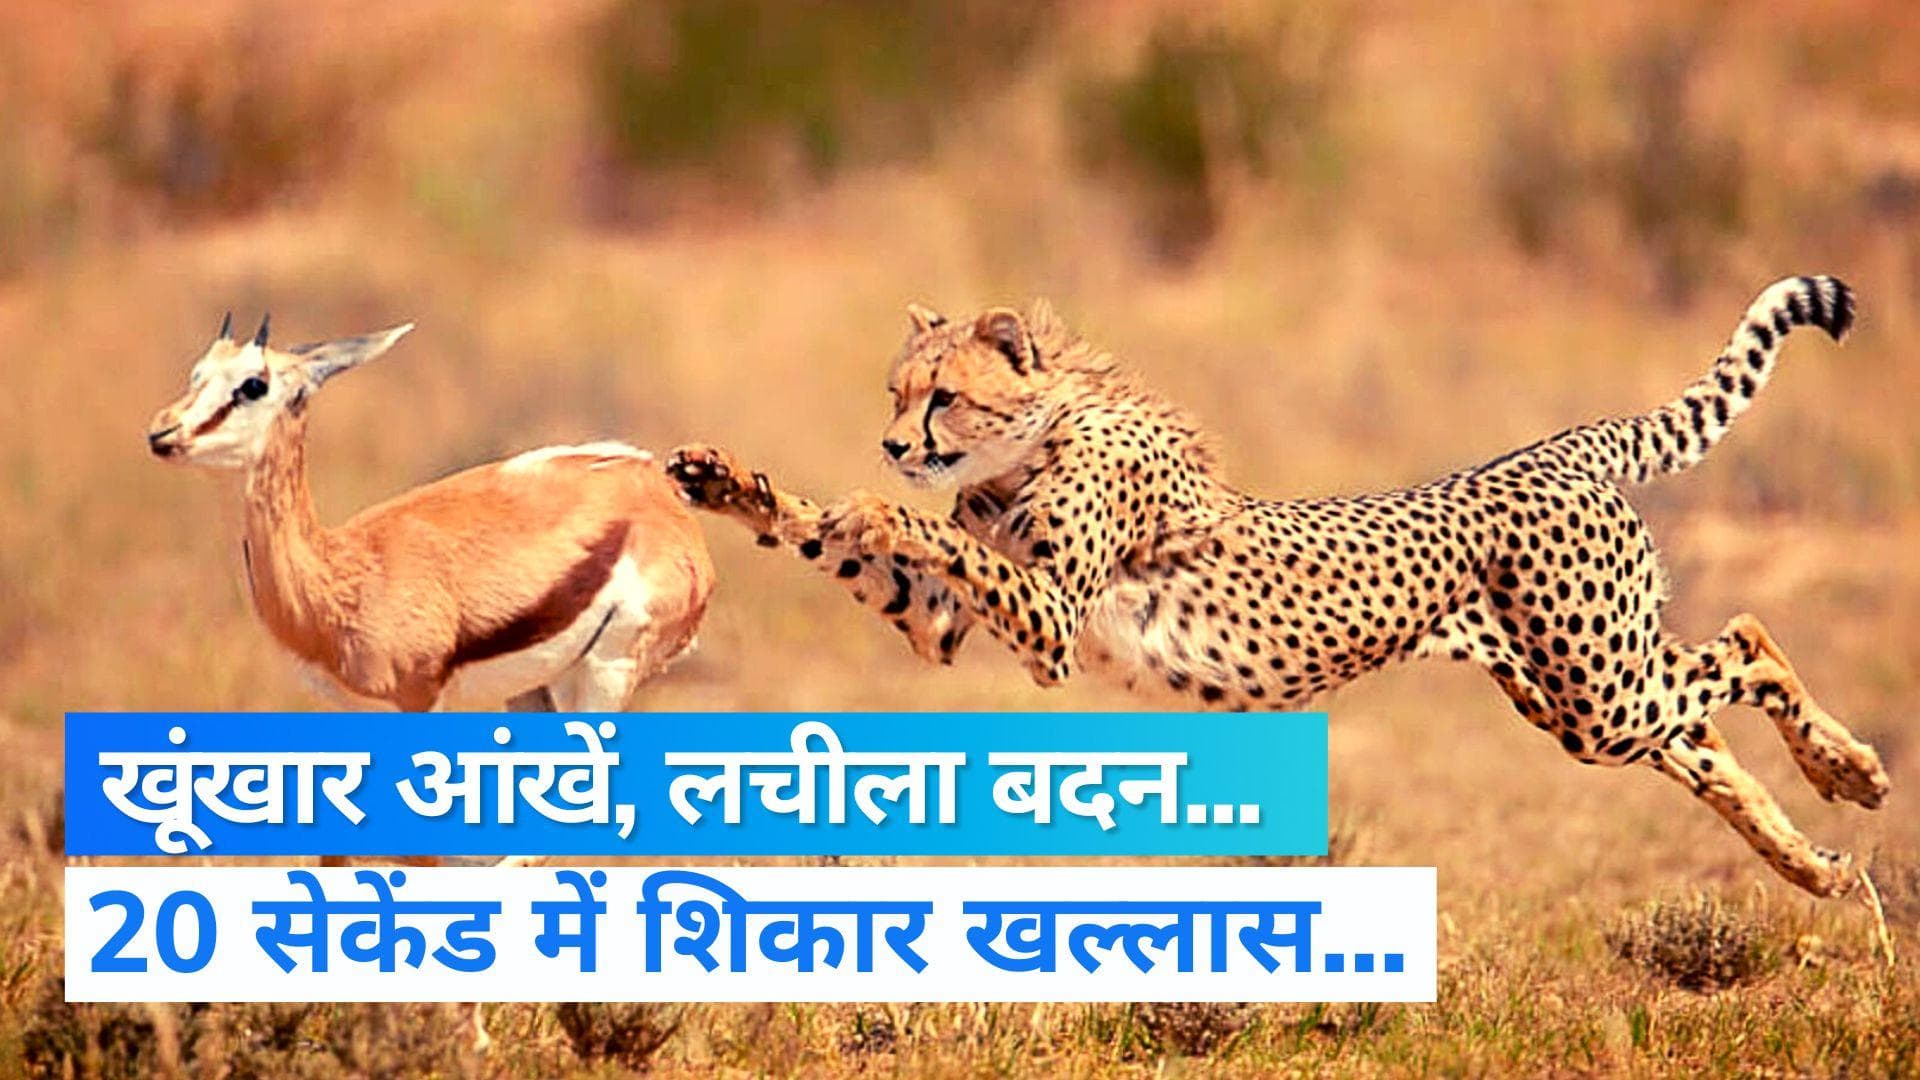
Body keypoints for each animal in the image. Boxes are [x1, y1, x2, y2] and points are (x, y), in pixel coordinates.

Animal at [666, 276, 1890, 897]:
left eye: (943, 398)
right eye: (895, 391)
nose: (890, 445)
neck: (1030, 444)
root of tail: (1551, 448)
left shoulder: (1053, 620)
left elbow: (922, 535)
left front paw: (872, 509)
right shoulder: (952, 623)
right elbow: (847, 548)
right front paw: (733, 483)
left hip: (1598, 686)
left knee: (1749, 638)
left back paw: (1853, 771)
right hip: (1580, 699)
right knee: (1703, 732)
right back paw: (1814, 865)